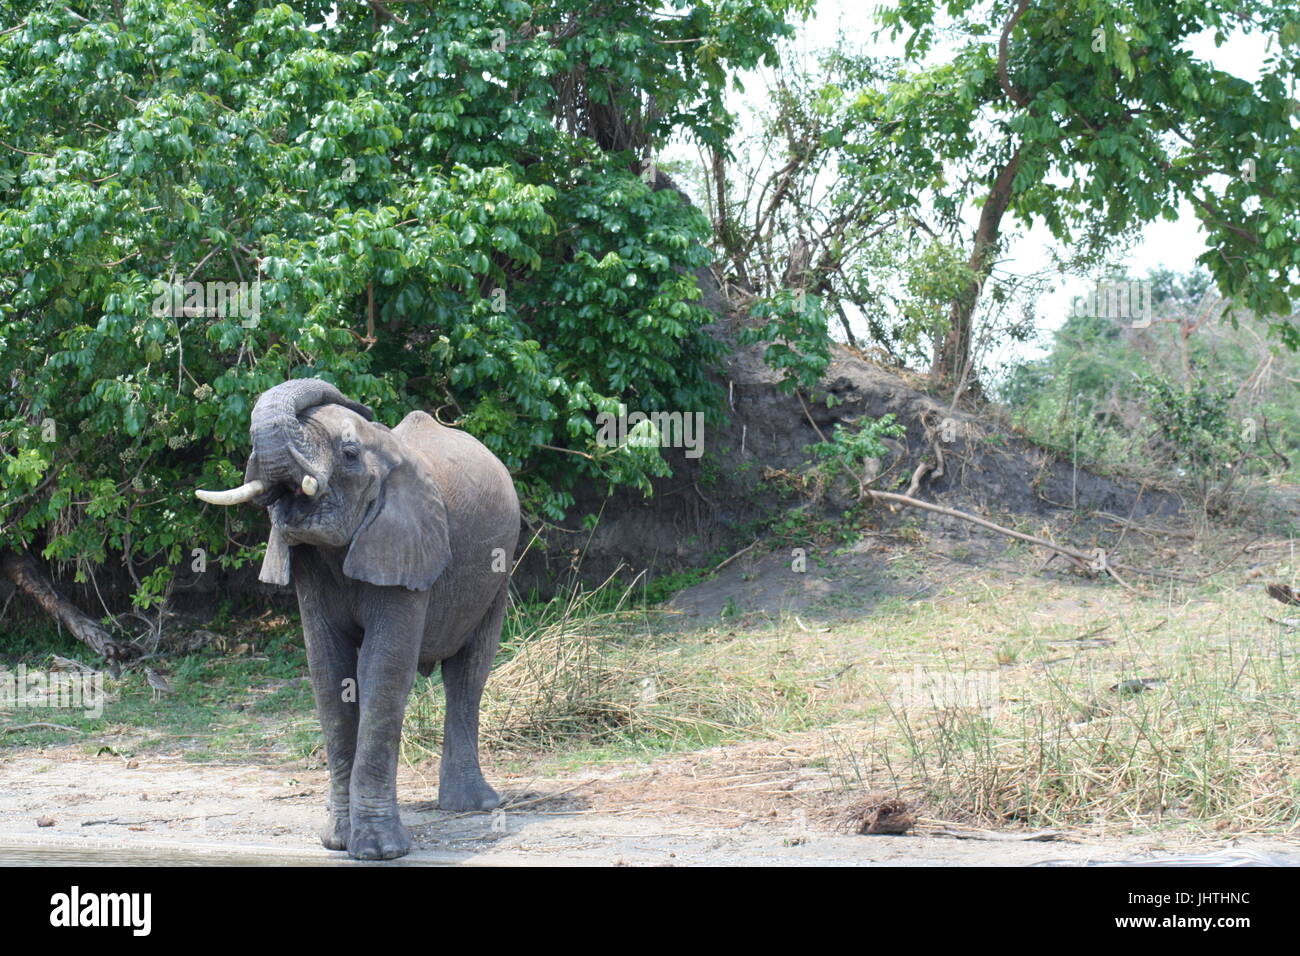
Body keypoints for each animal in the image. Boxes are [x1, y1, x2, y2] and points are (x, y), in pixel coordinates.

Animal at [196, 378, 519, 860]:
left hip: (500, 569)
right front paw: (337, 842)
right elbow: (330, 674)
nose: (362, 403)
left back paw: (473, 806)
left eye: (348, 453)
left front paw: (380, 852)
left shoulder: (407, 546)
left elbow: (381, 671)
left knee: (468, 672)